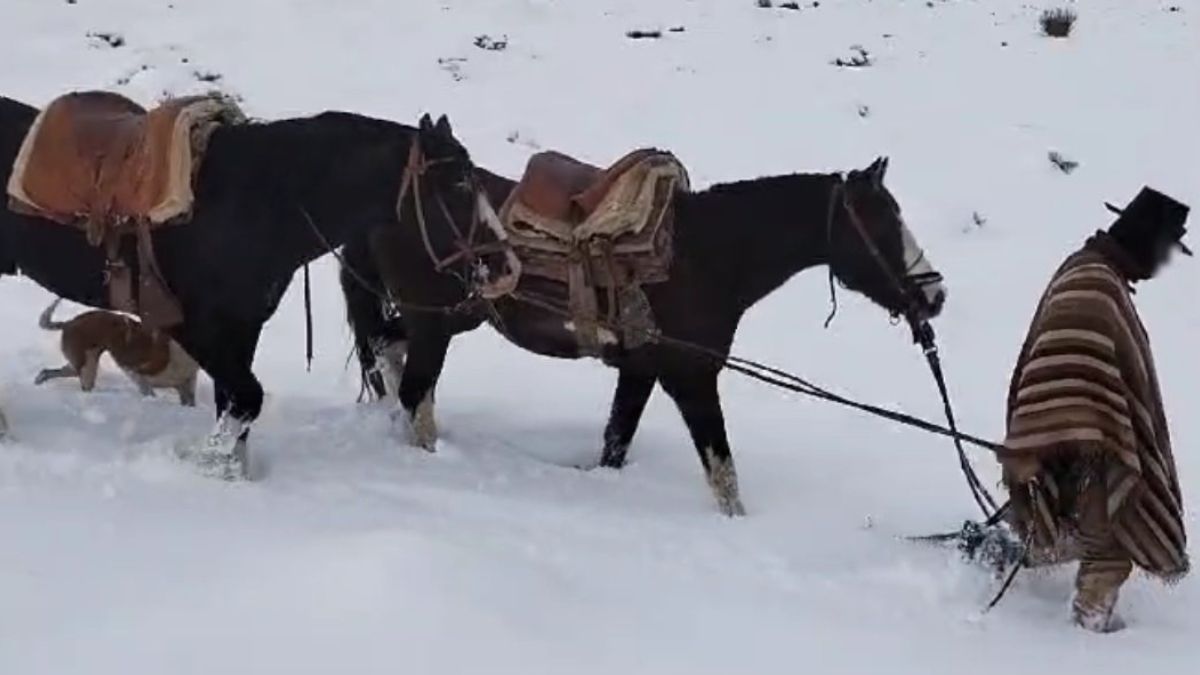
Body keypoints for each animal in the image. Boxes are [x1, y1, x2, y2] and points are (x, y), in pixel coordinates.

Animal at [0, 97, 515, 477]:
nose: (505, 266)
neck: (254, 201)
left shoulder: (243, 327)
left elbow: (234, 404)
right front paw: (205, 460)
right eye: (458, 183)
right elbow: (247, 398)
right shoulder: (194, 327)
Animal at [341, 156, 948, 515]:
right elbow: (723, 472)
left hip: (439, 319)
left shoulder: (640, 370)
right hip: (437, 323)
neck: (706, 254)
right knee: (414, 390)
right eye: (881, 223)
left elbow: (616, 441)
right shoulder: (692, 377)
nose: (935, 295)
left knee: (391, 356)